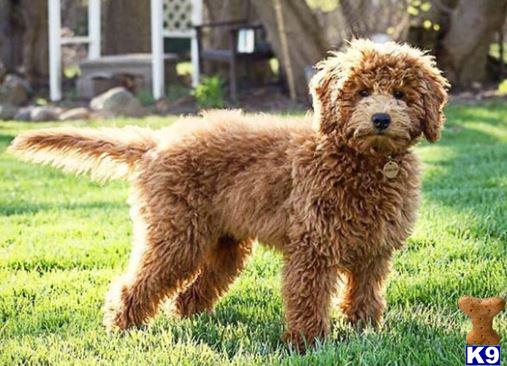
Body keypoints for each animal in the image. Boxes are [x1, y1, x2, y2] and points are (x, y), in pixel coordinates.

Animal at [7, 38, 448, 350]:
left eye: (401, 94)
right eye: (361, 92)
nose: (381, 118)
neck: (360, 161)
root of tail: (156, 143)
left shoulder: (375, 250)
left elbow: (365, 295)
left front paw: (365, 333)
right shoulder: (313, 247)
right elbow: (307, 296)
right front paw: (308, 344)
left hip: (222, 241)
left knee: (193, 289)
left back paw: (187, 316)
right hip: (176, 235)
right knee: (136, 283)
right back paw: (122, 326)